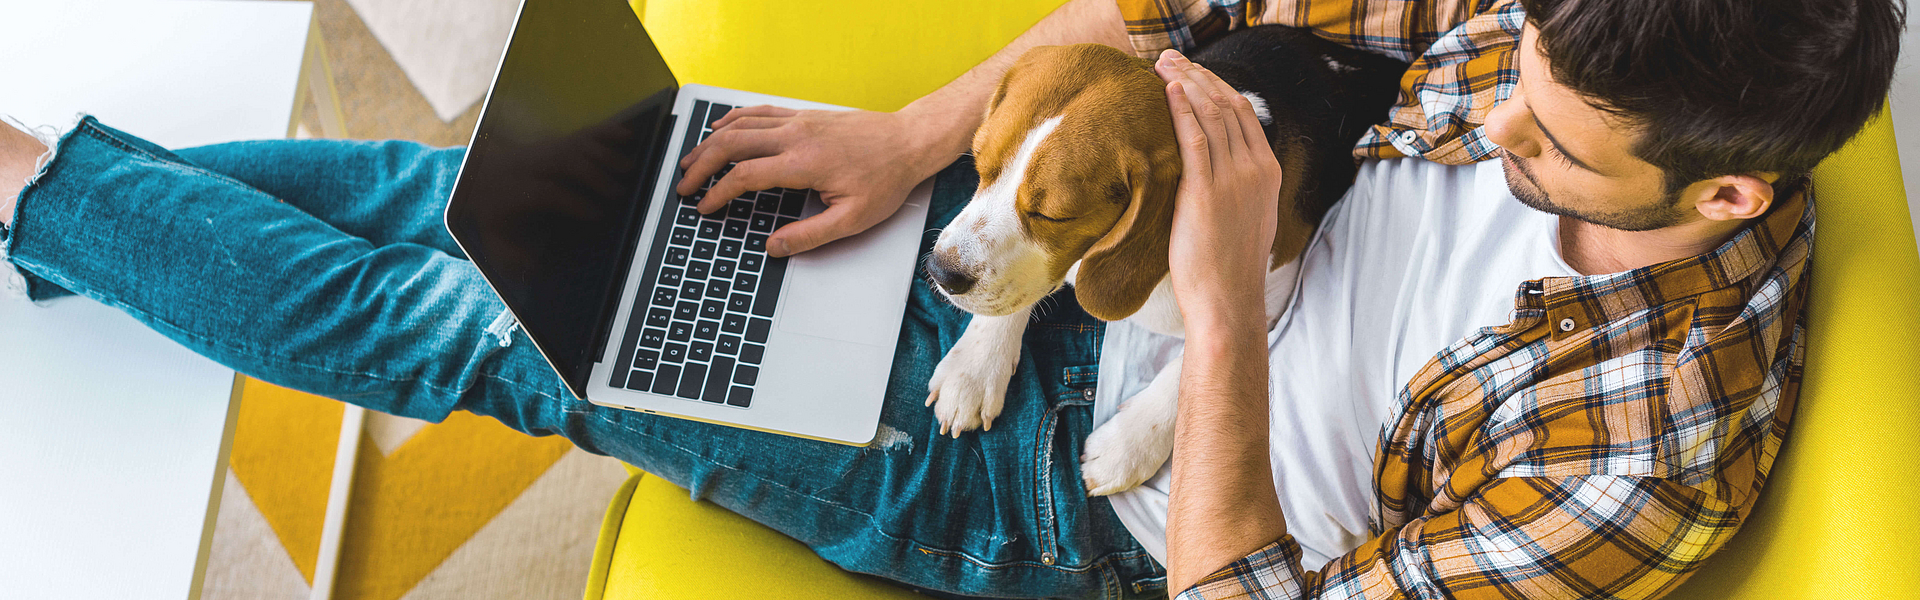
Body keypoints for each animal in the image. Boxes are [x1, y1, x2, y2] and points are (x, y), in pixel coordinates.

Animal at [921, 25, 1405, 496]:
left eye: (1053, 215)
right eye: (978, 165)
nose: (941, 271)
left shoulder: (1270, 294)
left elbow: (1187, 363)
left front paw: (1126, 445)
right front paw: (975, 365)